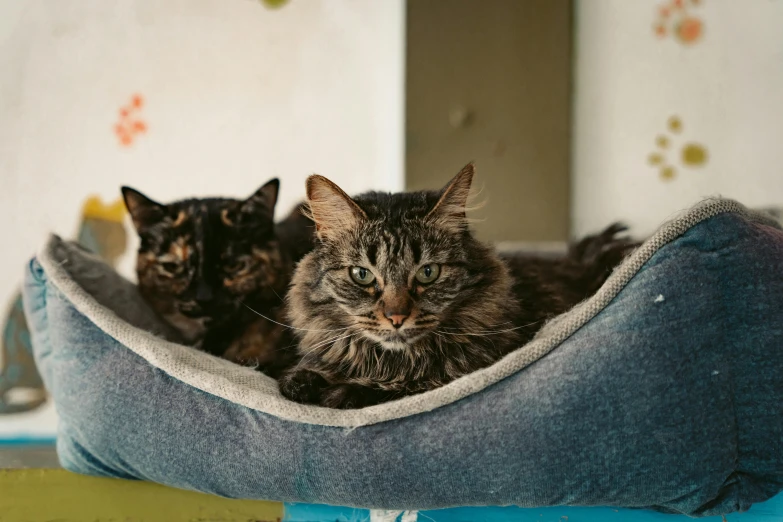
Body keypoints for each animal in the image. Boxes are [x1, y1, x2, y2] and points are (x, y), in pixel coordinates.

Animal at [278, 162, 632, 406]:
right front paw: (306, 382)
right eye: (361, 275)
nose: (396, 317)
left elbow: (401, 388)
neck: (389, 362)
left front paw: (340, 393)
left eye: (428, 272)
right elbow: (293, 380)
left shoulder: (453, 378)